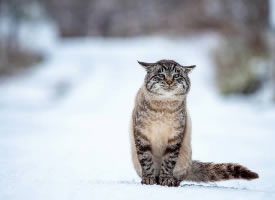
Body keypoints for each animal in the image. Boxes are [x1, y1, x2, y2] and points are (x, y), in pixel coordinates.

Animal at [130, 59, 260, 186]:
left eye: (176, 75)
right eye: (161, 75)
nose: (169, 81)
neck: (164, 107)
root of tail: (191, 164)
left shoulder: (175, 138)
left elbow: (168, 162)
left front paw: (166, 179)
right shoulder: (142, 135)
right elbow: (146, 161)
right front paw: (148, 179)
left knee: (180, 175)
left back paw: (172, 181)